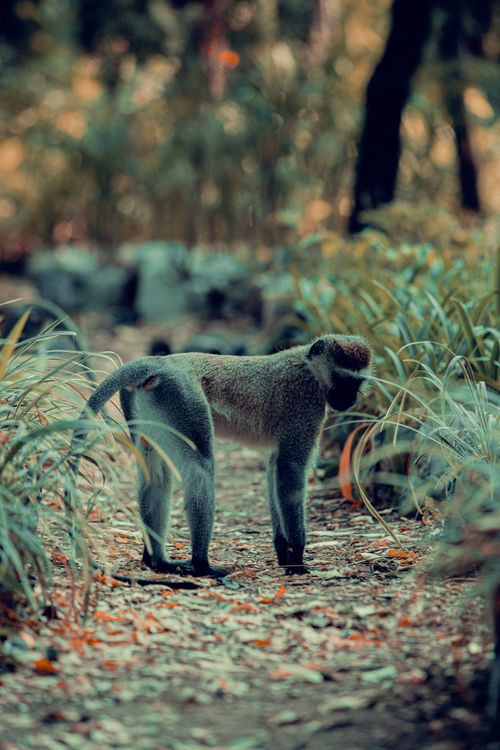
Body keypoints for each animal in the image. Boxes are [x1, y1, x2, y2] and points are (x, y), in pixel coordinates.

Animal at [70, 334, 372, 583]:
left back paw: (158, 561)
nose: (351, 400)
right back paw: (201, 565)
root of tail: (158, 363)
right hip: (182, 398)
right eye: (345, 381)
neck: (310, 368)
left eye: (357, 383)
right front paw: (297, 558)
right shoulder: (305, 405)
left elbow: (275, 466)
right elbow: (290, 468)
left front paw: (282, 552)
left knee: (155, 475)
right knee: (201, 467)